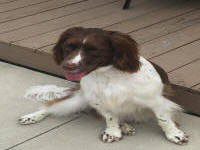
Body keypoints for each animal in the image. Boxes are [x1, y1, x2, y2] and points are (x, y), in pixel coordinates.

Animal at [19, 26, 189, 144]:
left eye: (94, 50)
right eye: (68, 47)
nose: (68, 66)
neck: (107, 75)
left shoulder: (156, 101)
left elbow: (164, 119)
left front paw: (174, 134)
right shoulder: (100, 101)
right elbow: (110, 117)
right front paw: (113, 132)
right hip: (78, 100)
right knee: (49, 107)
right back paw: (31, 117)